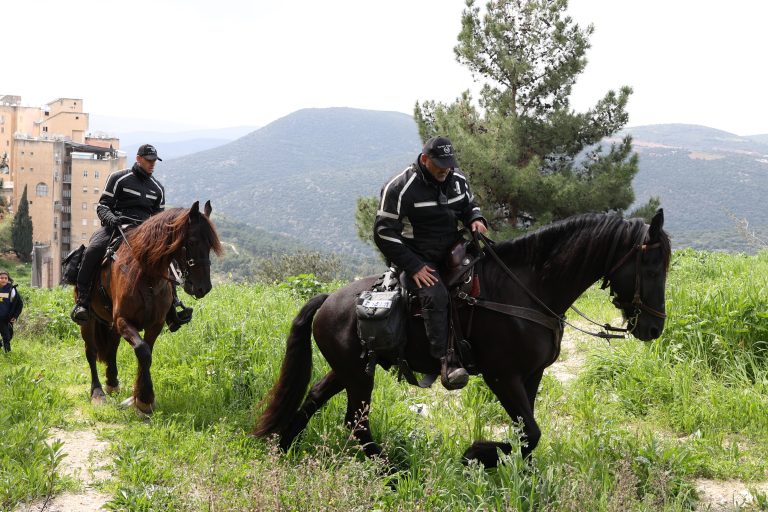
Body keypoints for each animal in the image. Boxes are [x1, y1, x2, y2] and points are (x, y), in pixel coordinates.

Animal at [78, 199, 222, 412]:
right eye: (192, 241)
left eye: (211, 245)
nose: (204, 287)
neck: (145, 276)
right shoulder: (122, 320)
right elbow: (143, 351)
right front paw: (144, 399)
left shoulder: (155, 324)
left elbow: (146, 353)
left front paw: (140, 397)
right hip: (88, 321)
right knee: (91, 351)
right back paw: (97, 392)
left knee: (112, 347)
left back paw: (112, 382)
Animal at [255, 209, 668, 468]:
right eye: (651, 266)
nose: (653, 328)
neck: (527, 289)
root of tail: (328, 300)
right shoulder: (502, 376)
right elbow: (530, 432)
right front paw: (475, 455)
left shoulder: (531, 375)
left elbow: (526, 433)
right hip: (358, 377)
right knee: (355, 424)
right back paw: (393, 472)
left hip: (350, 369)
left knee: (313, 398)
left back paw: (283, 450)